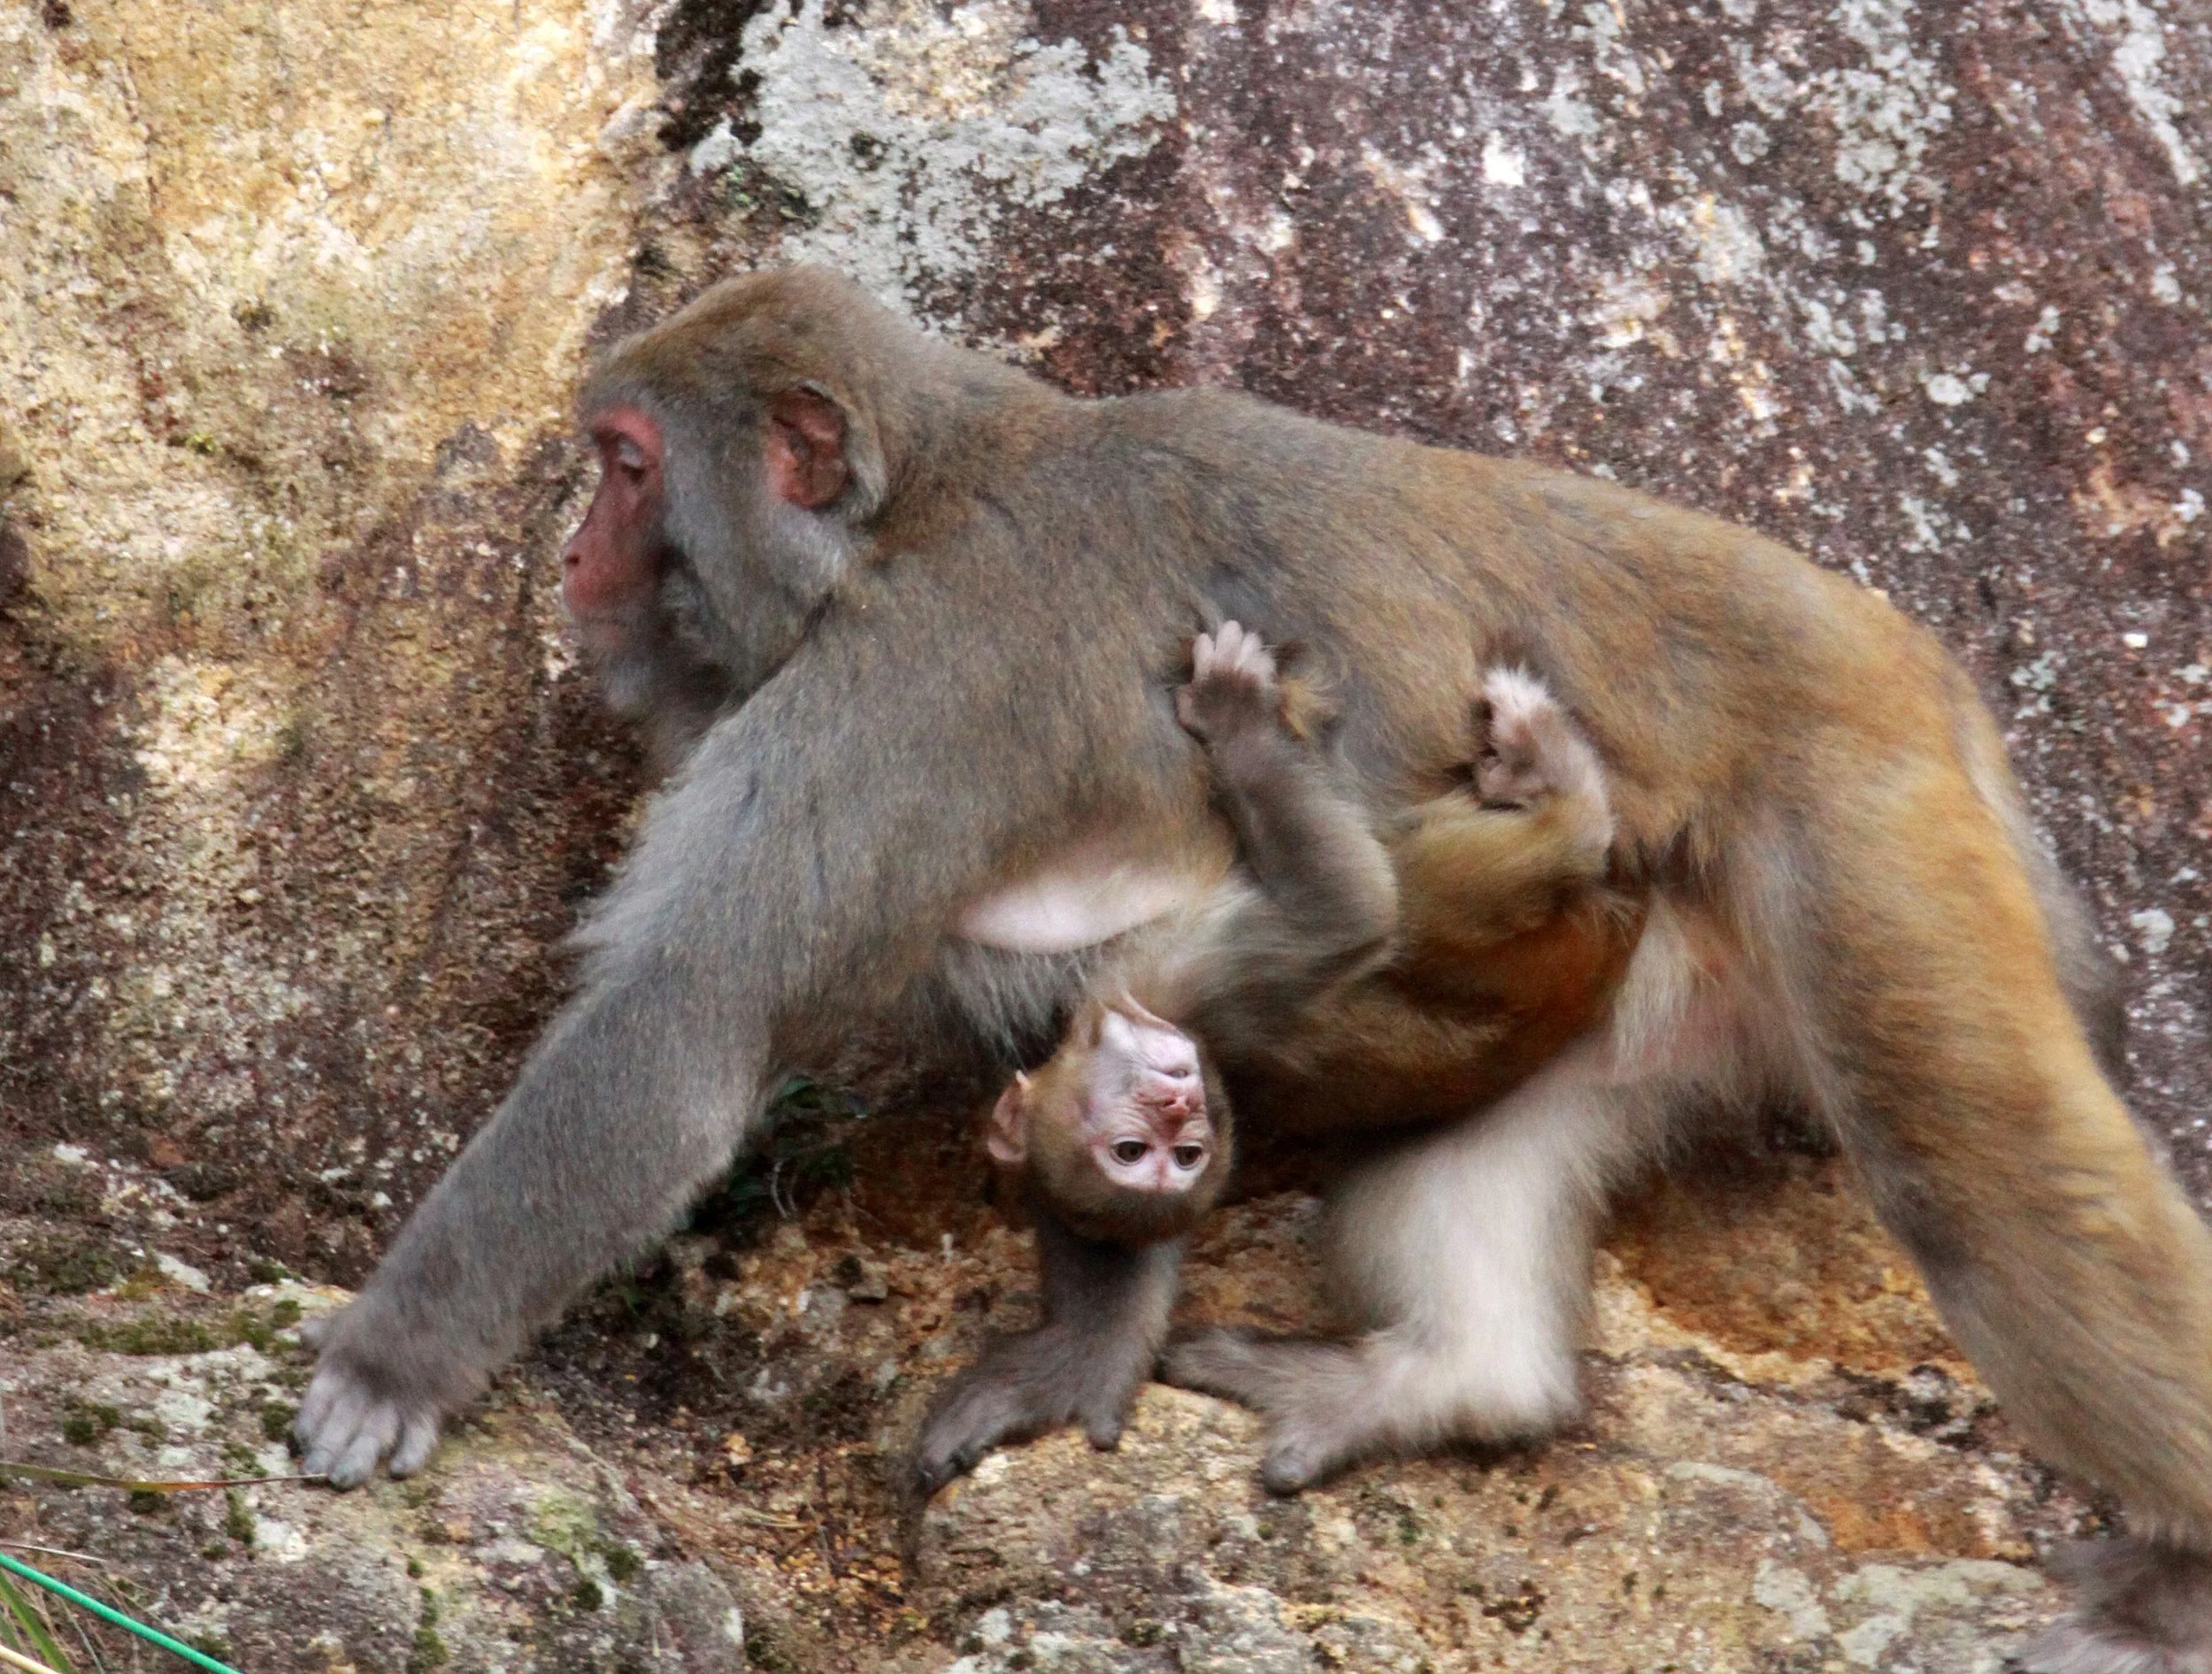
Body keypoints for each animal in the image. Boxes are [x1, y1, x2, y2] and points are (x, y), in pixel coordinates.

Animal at [918, 623, 1634, 1489]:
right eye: (1140, 1154)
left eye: (1176, 1153)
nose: (1177, 1101)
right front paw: (1079, 1359)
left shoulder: (1187, 987)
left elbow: (1345, 909)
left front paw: (1238, 725)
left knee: (1543, 850)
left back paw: (1561, 786)